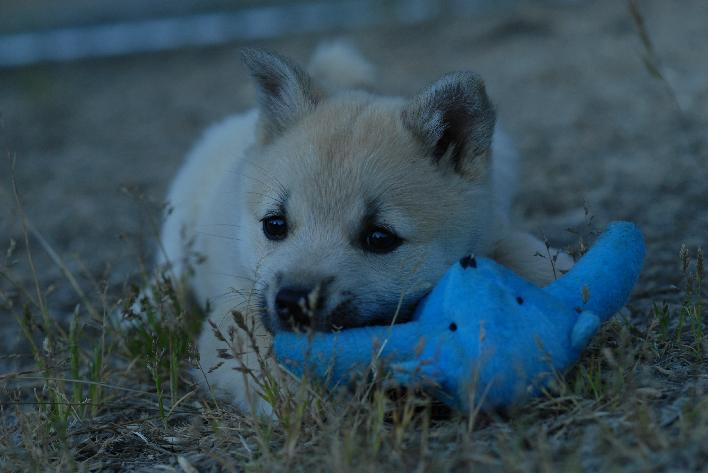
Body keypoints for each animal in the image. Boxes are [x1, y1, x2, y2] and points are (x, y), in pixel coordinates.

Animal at [158, 43, 572, 412]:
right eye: (274, 225)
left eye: (379, 238)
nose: (292, 302)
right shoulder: (237, 306)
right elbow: (268, 353)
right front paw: (308, 400)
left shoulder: (493, 227)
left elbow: (525, 253)